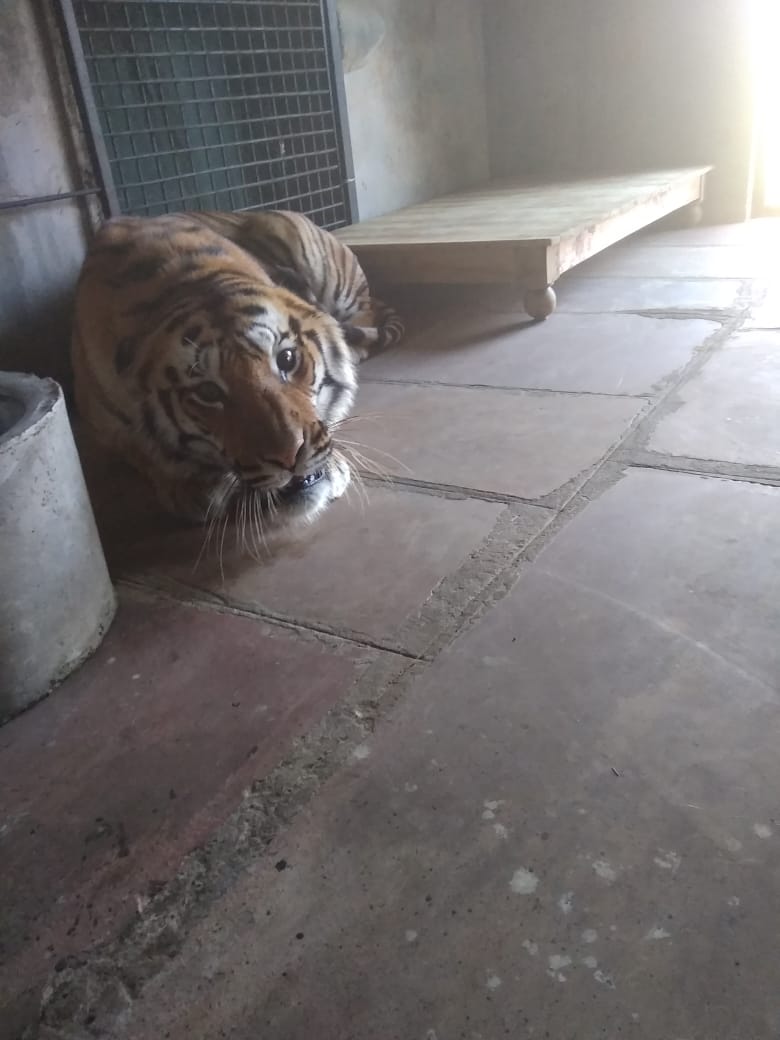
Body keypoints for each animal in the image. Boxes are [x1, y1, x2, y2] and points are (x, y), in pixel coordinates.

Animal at [68, 214, 370, 532]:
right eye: (208, 392)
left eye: (286, 359)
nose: (290, 455)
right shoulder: (100, 415)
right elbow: (137, 447)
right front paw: (191, 488)